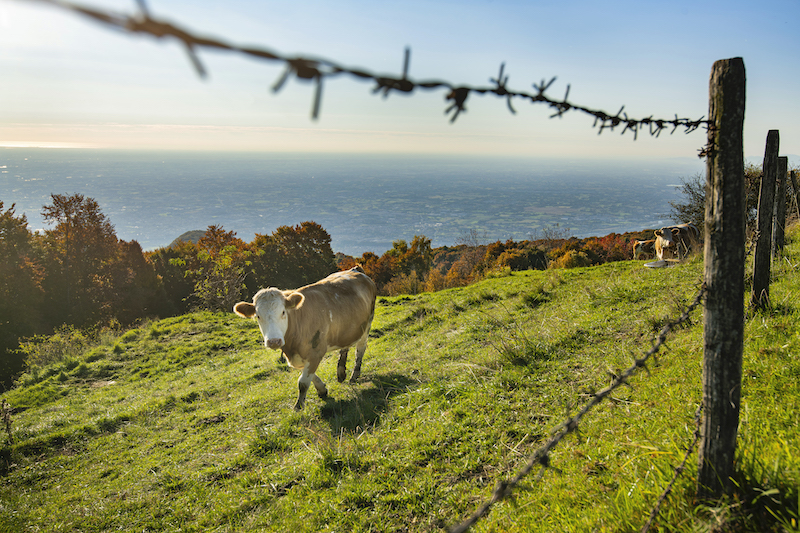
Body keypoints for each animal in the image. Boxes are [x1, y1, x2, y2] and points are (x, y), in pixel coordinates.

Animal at [233, 266, 377, 410]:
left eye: (283, 312)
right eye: (258, 316)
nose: (274, 341)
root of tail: (355, 270)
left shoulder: (316, 352)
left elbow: (302, 382)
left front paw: (298, 406)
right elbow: (309, 375)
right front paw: (322, 390)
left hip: (367, 324)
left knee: (360, 349)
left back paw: (354, 375)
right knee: (345, 346)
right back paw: (341, 372)